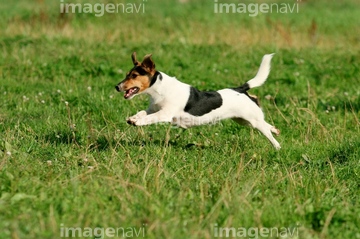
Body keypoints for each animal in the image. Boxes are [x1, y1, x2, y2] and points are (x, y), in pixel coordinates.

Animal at [115, 52, 282, 149]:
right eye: (127, 74)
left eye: (134, 75)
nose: (117, 86)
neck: (160, 90)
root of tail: (240, 89)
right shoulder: (153, 108)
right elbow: (142, 112)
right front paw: (133, 118)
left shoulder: (165, 114)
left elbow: (149, 118)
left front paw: (138, 122)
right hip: (244, 120)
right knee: (265, 123)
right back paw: (275, 129)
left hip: (252, 121)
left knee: (268, 134)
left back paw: (277, 147)